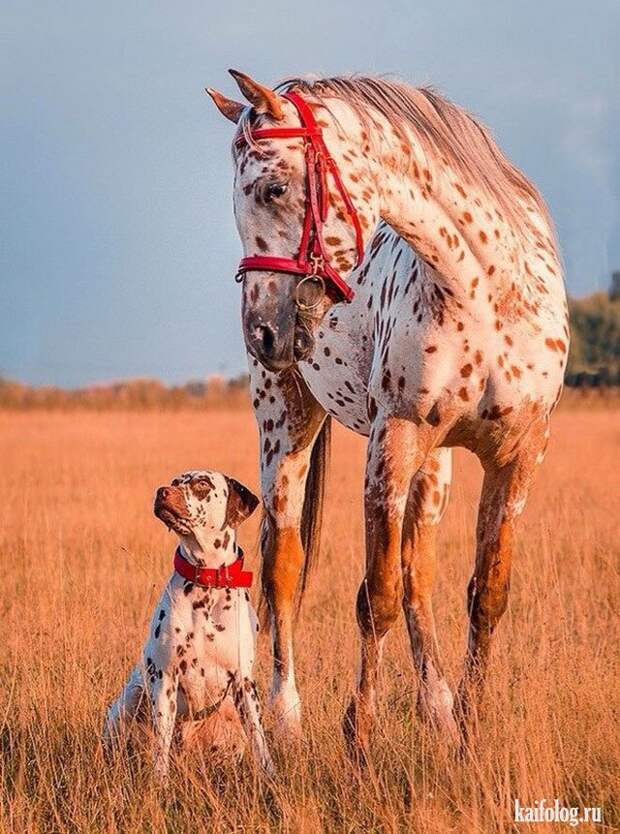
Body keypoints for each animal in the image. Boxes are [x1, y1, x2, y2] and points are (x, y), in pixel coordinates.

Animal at [104, 468, 274, 780]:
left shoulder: (244, 682)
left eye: (202, 484)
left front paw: (270, 775)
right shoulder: (165, 678)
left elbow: (259, 738)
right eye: (174, 482)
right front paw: (159, 782)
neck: (206, 583)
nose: (161, 492)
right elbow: (161, 743)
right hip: (128, 701)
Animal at [206, 68, 568, 752]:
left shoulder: (518, 457)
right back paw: (288, 719)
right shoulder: (391, 443)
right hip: (285, 425)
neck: (484, 290)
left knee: (417, 574)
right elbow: (373, 597)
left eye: (273, 187)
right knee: (284, 569)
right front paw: (359, 738)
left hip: (436, 464)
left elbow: (484, 594)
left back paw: (439, 709)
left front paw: (468, 733)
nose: (261, 333)